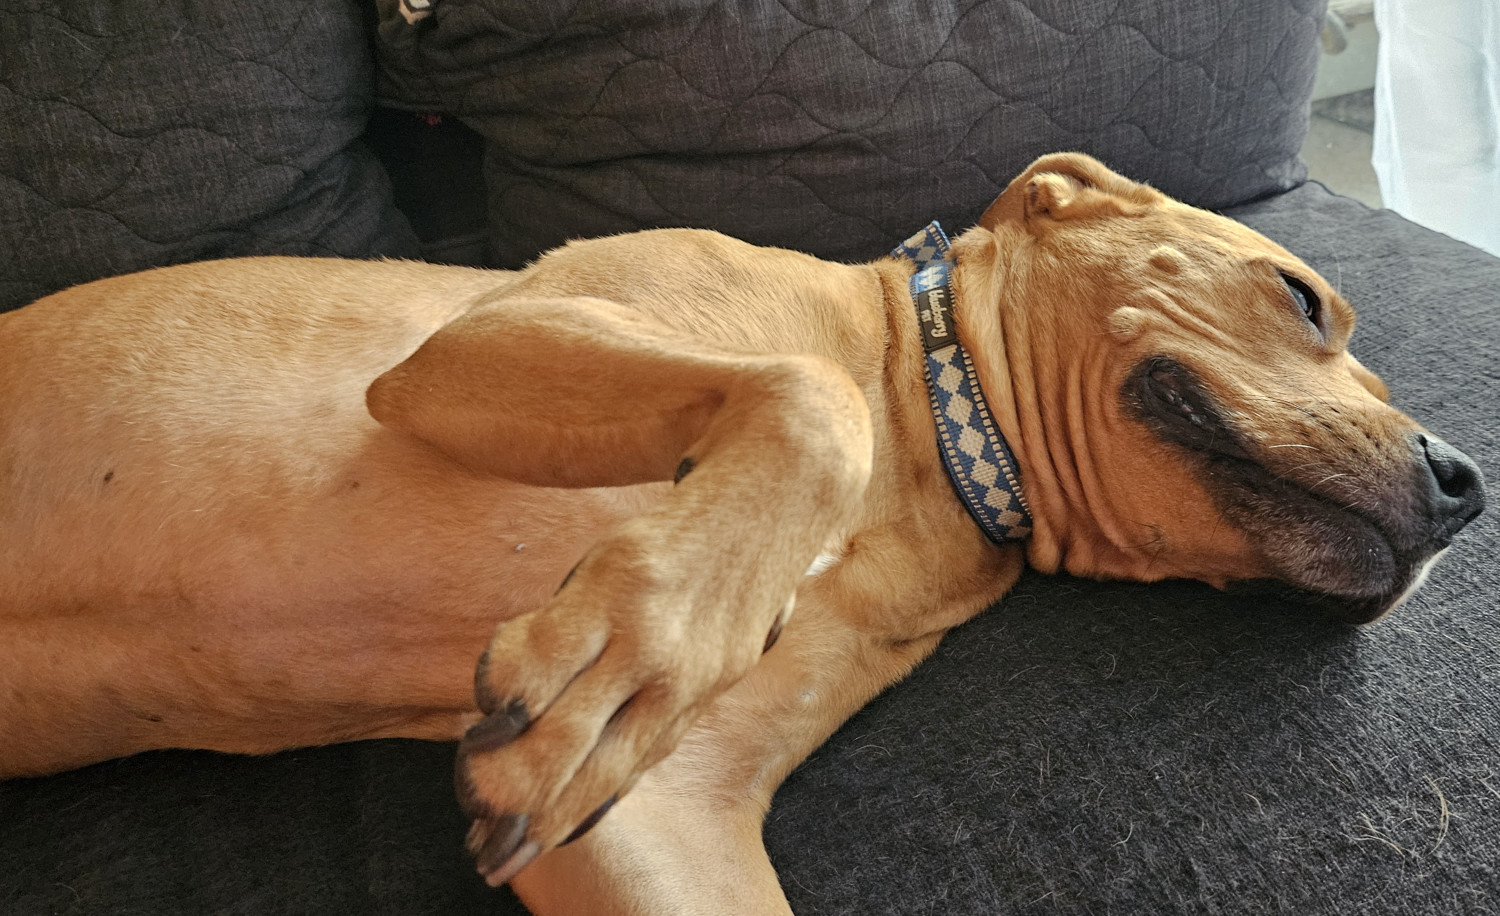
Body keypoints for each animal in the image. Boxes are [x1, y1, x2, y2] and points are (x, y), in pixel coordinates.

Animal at [0, 154, 1482, 911]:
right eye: (1302, 297)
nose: (1468, 482)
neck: (942, 451)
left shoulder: (654, 814)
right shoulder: (483, 342)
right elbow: (813, 398)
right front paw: (636, 638)